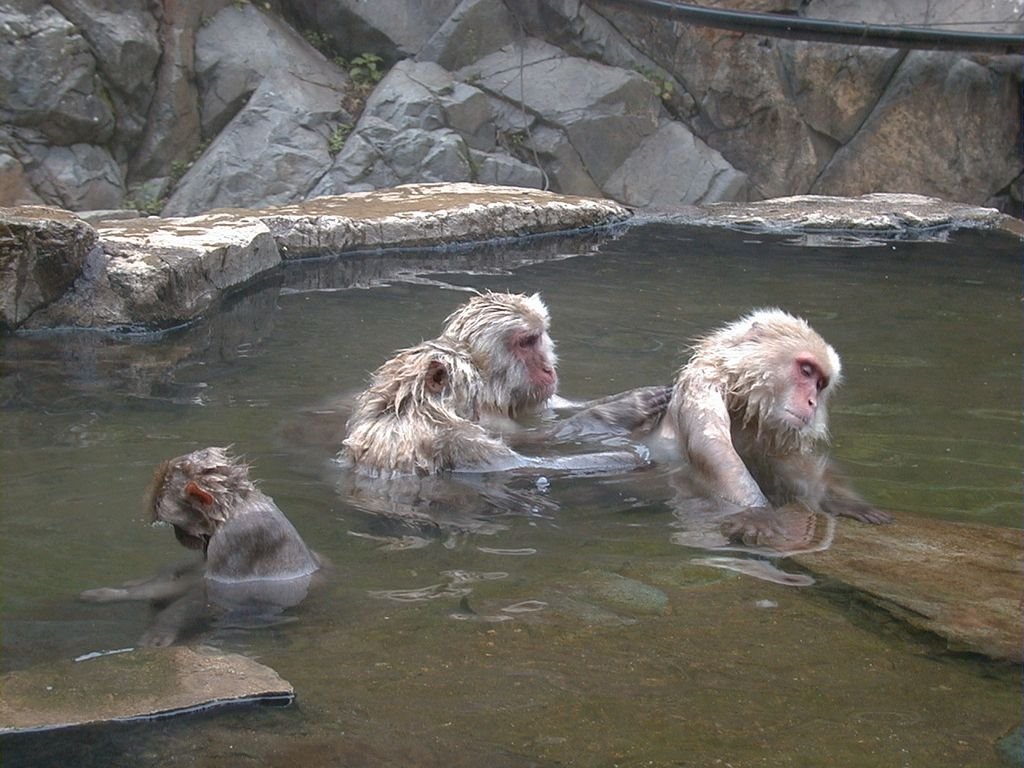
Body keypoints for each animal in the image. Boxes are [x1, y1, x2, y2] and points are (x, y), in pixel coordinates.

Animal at [82, 448, 321, 647]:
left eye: (176, 524)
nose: (179, 537)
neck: (232, 509)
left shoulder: (235, 539)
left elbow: (214, 590)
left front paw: (161, 622)